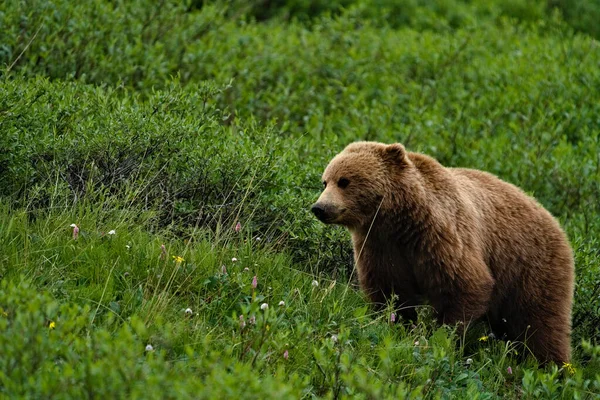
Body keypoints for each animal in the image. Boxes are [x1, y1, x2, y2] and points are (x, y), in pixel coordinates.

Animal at [312, 142, 576, 364]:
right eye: (325, 181)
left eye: (344, 181)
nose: (319, 208)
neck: (396, 219)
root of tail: (555, 221)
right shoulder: (379, 246)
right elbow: (389, 290)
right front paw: (396, 325)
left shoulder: (439, 235)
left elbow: (464, 284)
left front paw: (442, 337)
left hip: (530, 266)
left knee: (540, 323)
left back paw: (550, 366)